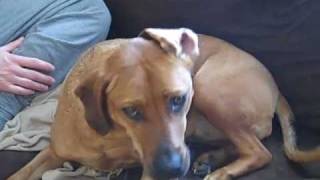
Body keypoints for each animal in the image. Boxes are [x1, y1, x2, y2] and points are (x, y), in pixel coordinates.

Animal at [8, 28, 320, 180]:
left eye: (179, 100)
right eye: (131, 111)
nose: (173, 169)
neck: (110, 136)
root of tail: (277, 89)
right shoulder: (51, 153)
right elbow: (20, 173)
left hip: (208, 89)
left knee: (260, 152)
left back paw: (220, 172)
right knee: (247, 144)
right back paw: (210, 159)